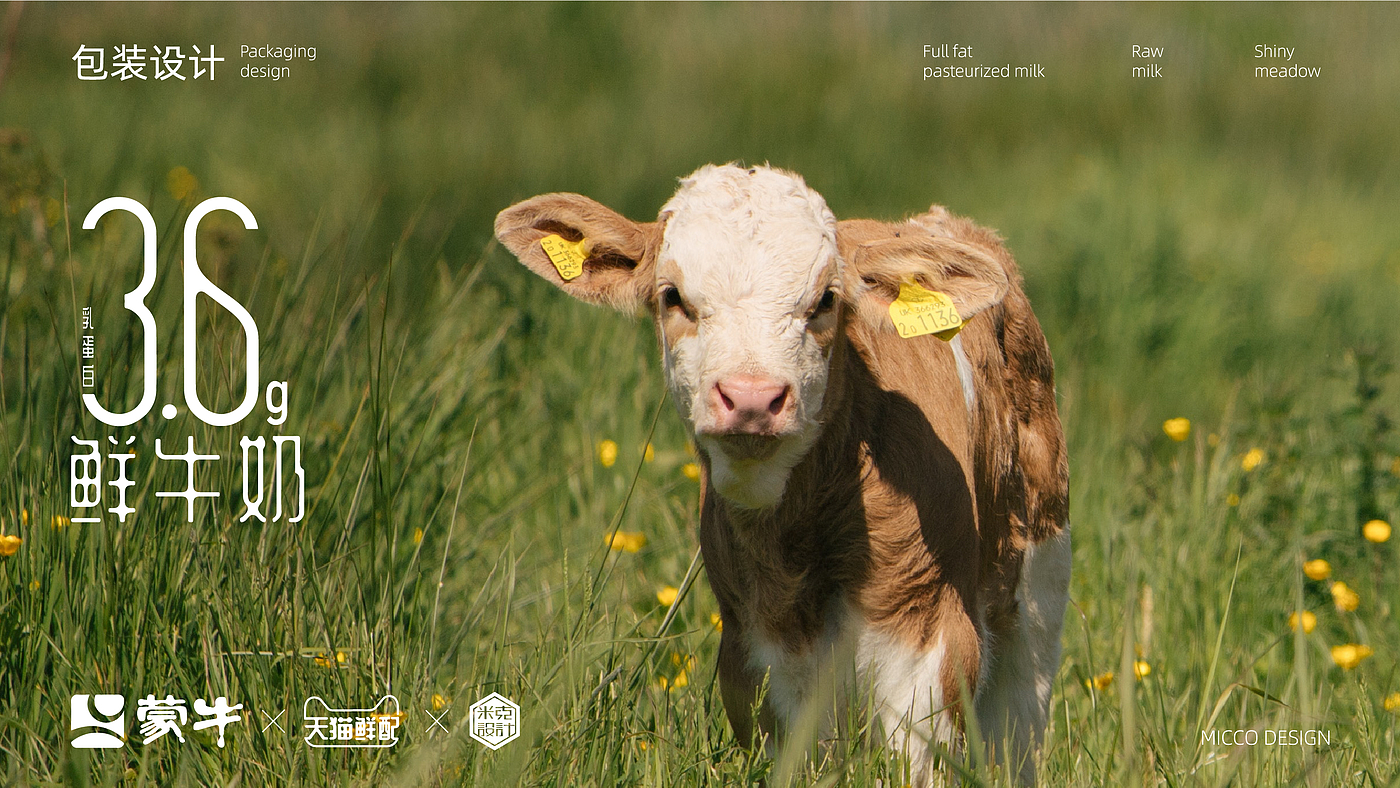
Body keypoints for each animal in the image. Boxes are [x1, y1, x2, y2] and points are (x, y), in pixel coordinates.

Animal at [495, 163, 1069, 783]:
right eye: (673, 297)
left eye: (825, 300)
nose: (751, 397)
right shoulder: (756, 653)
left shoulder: (929, 640)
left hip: (1036, 585)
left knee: (1018, 727)